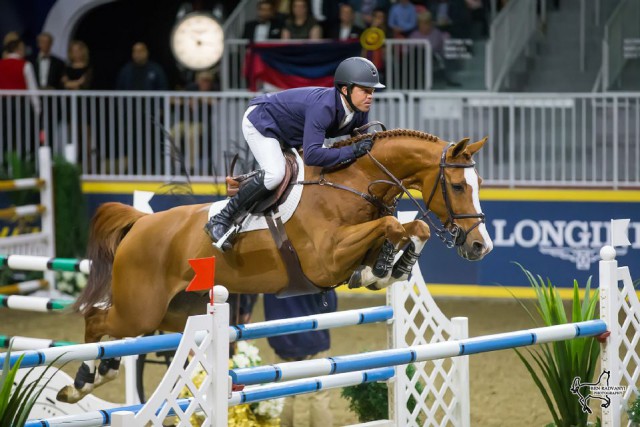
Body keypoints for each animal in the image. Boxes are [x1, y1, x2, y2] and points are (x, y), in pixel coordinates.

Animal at [57, 129, 492, 402]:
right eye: (457, 186)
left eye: (480, 184)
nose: (480, 246)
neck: (354, 182)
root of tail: (141, 223)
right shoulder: (325, 259)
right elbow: (391, 225)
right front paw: (384, 268)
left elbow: (412, 226)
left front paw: (388, 267)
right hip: (141, 306)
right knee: (97, 320)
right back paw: (82, 382)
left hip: (174, 312)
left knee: (124, 333)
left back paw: (101, 372)